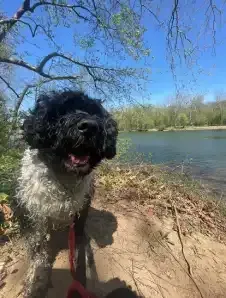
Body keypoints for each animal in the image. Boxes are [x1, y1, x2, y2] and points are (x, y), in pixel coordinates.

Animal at [15, 91, 118, 298]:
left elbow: (79, 248)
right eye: (62, 111)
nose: (90, 126)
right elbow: (38, 249)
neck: (64, 179)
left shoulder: (80, 213)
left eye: (94, 113)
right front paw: (36, 280)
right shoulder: (33, 215)